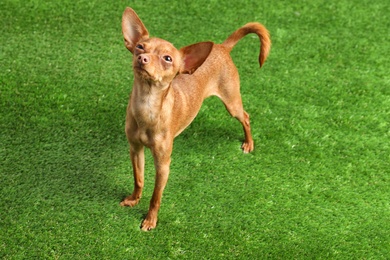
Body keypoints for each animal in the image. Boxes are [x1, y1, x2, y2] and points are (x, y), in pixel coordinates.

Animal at [120, 7, 270, 231]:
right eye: (140, 47)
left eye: (167, 58)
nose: (143, 58)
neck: (147, 105)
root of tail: (221, 47)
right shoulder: (136, 150)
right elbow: (139, 179)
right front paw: (133, 199)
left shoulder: (163, 165)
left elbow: (156, 197)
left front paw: (150, 219)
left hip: (232, 103)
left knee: (245, 117)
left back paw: (248, 143)